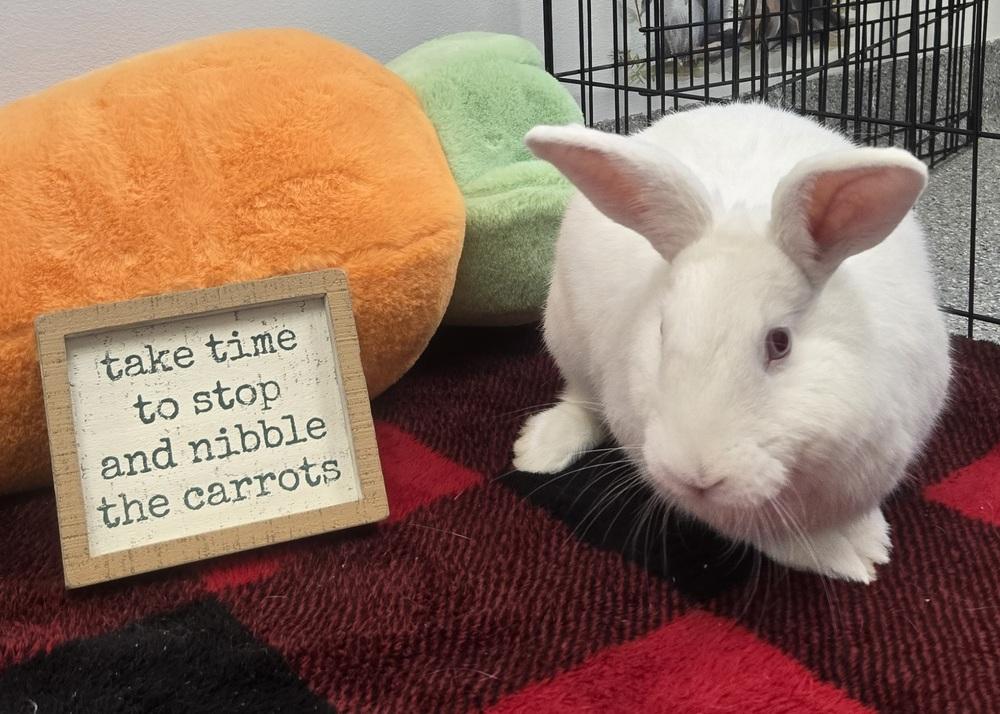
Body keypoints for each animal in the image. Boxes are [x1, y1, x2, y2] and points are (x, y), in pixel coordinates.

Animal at [513, 102, 951, 583]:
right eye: (663, 330)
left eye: (779, 343)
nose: (696, 475)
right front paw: (845, 557)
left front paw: (869, 547)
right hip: (565, 334)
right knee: (580, 399)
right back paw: (538, 452)